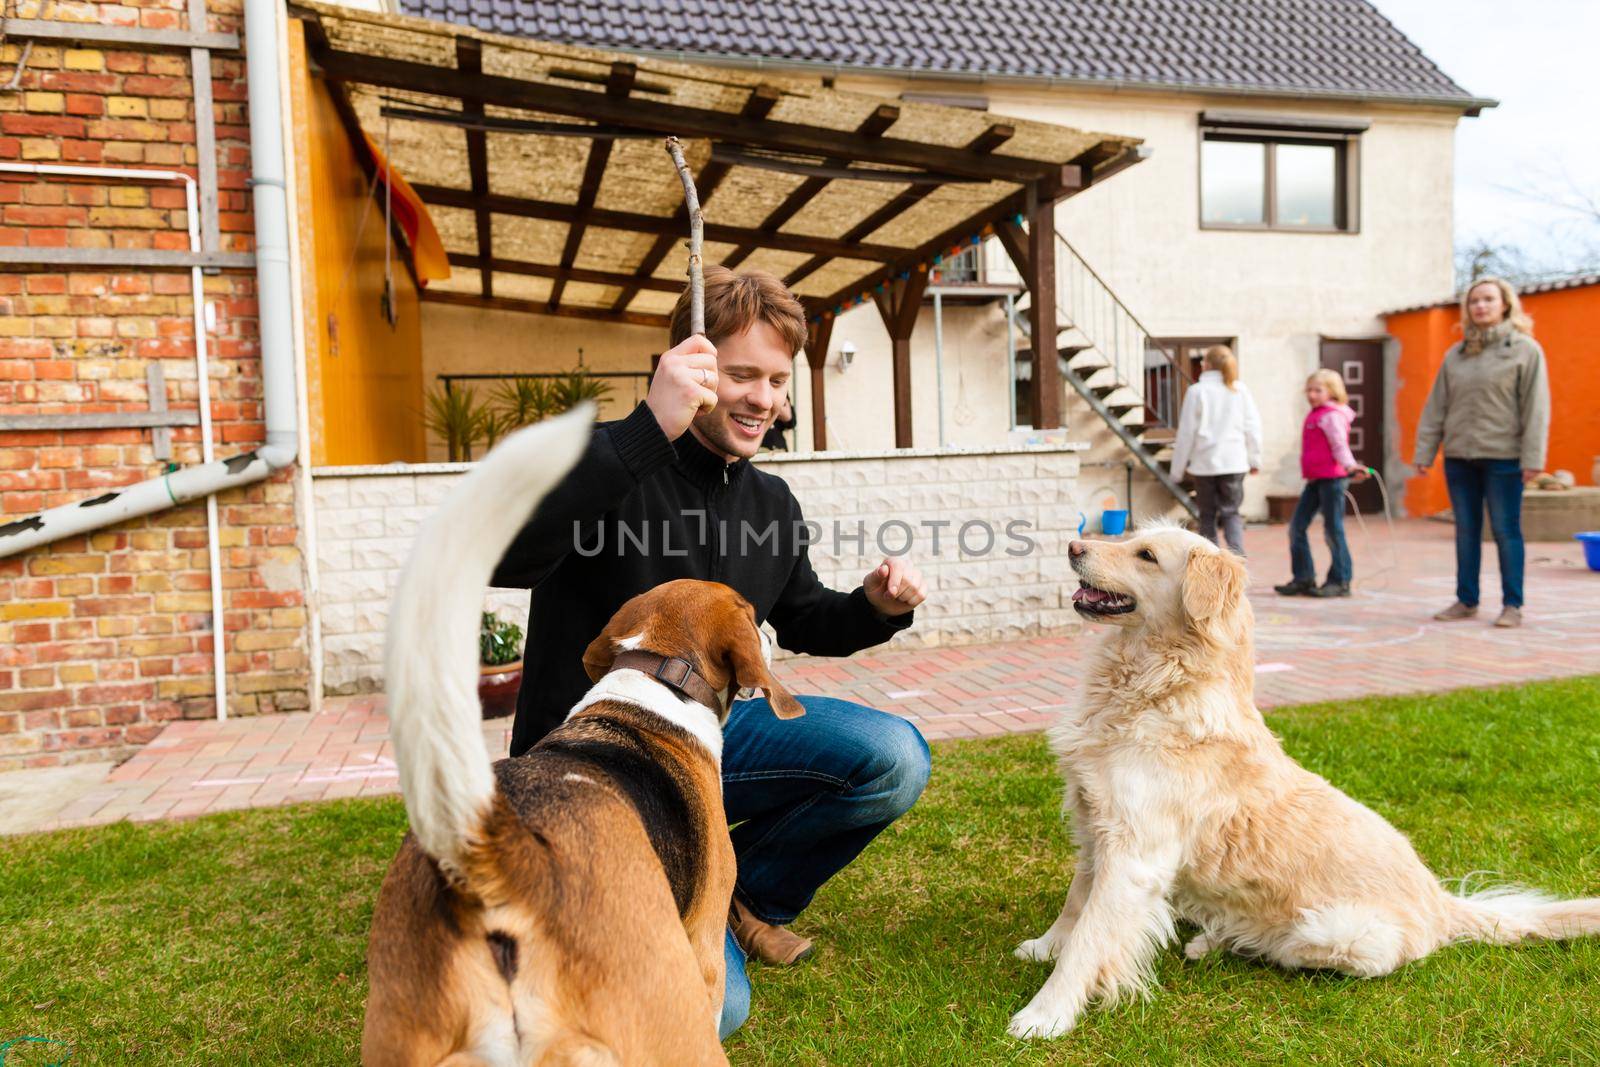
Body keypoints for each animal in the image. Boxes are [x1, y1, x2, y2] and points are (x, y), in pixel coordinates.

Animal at [368, 412, 806, 1067]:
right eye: (751, 615)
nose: (774, 630)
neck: (657, 673)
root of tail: (502, 862)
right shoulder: (704, 948)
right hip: (673, 1015)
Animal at [1011, 524, 1600, 1043]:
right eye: (1130, 538)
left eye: (1147, 556)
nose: (1073, 546)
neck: (1154, 686)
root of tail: (1442, 901)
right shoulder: (1095, 823)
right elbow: (1075, 903)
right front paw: (1045, 946)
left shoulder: (1134, 854)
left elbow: (1091, 937)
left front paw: (1046, 1015)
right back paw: (1205, 941)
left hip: (1333, 933)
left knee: (1282, 947)